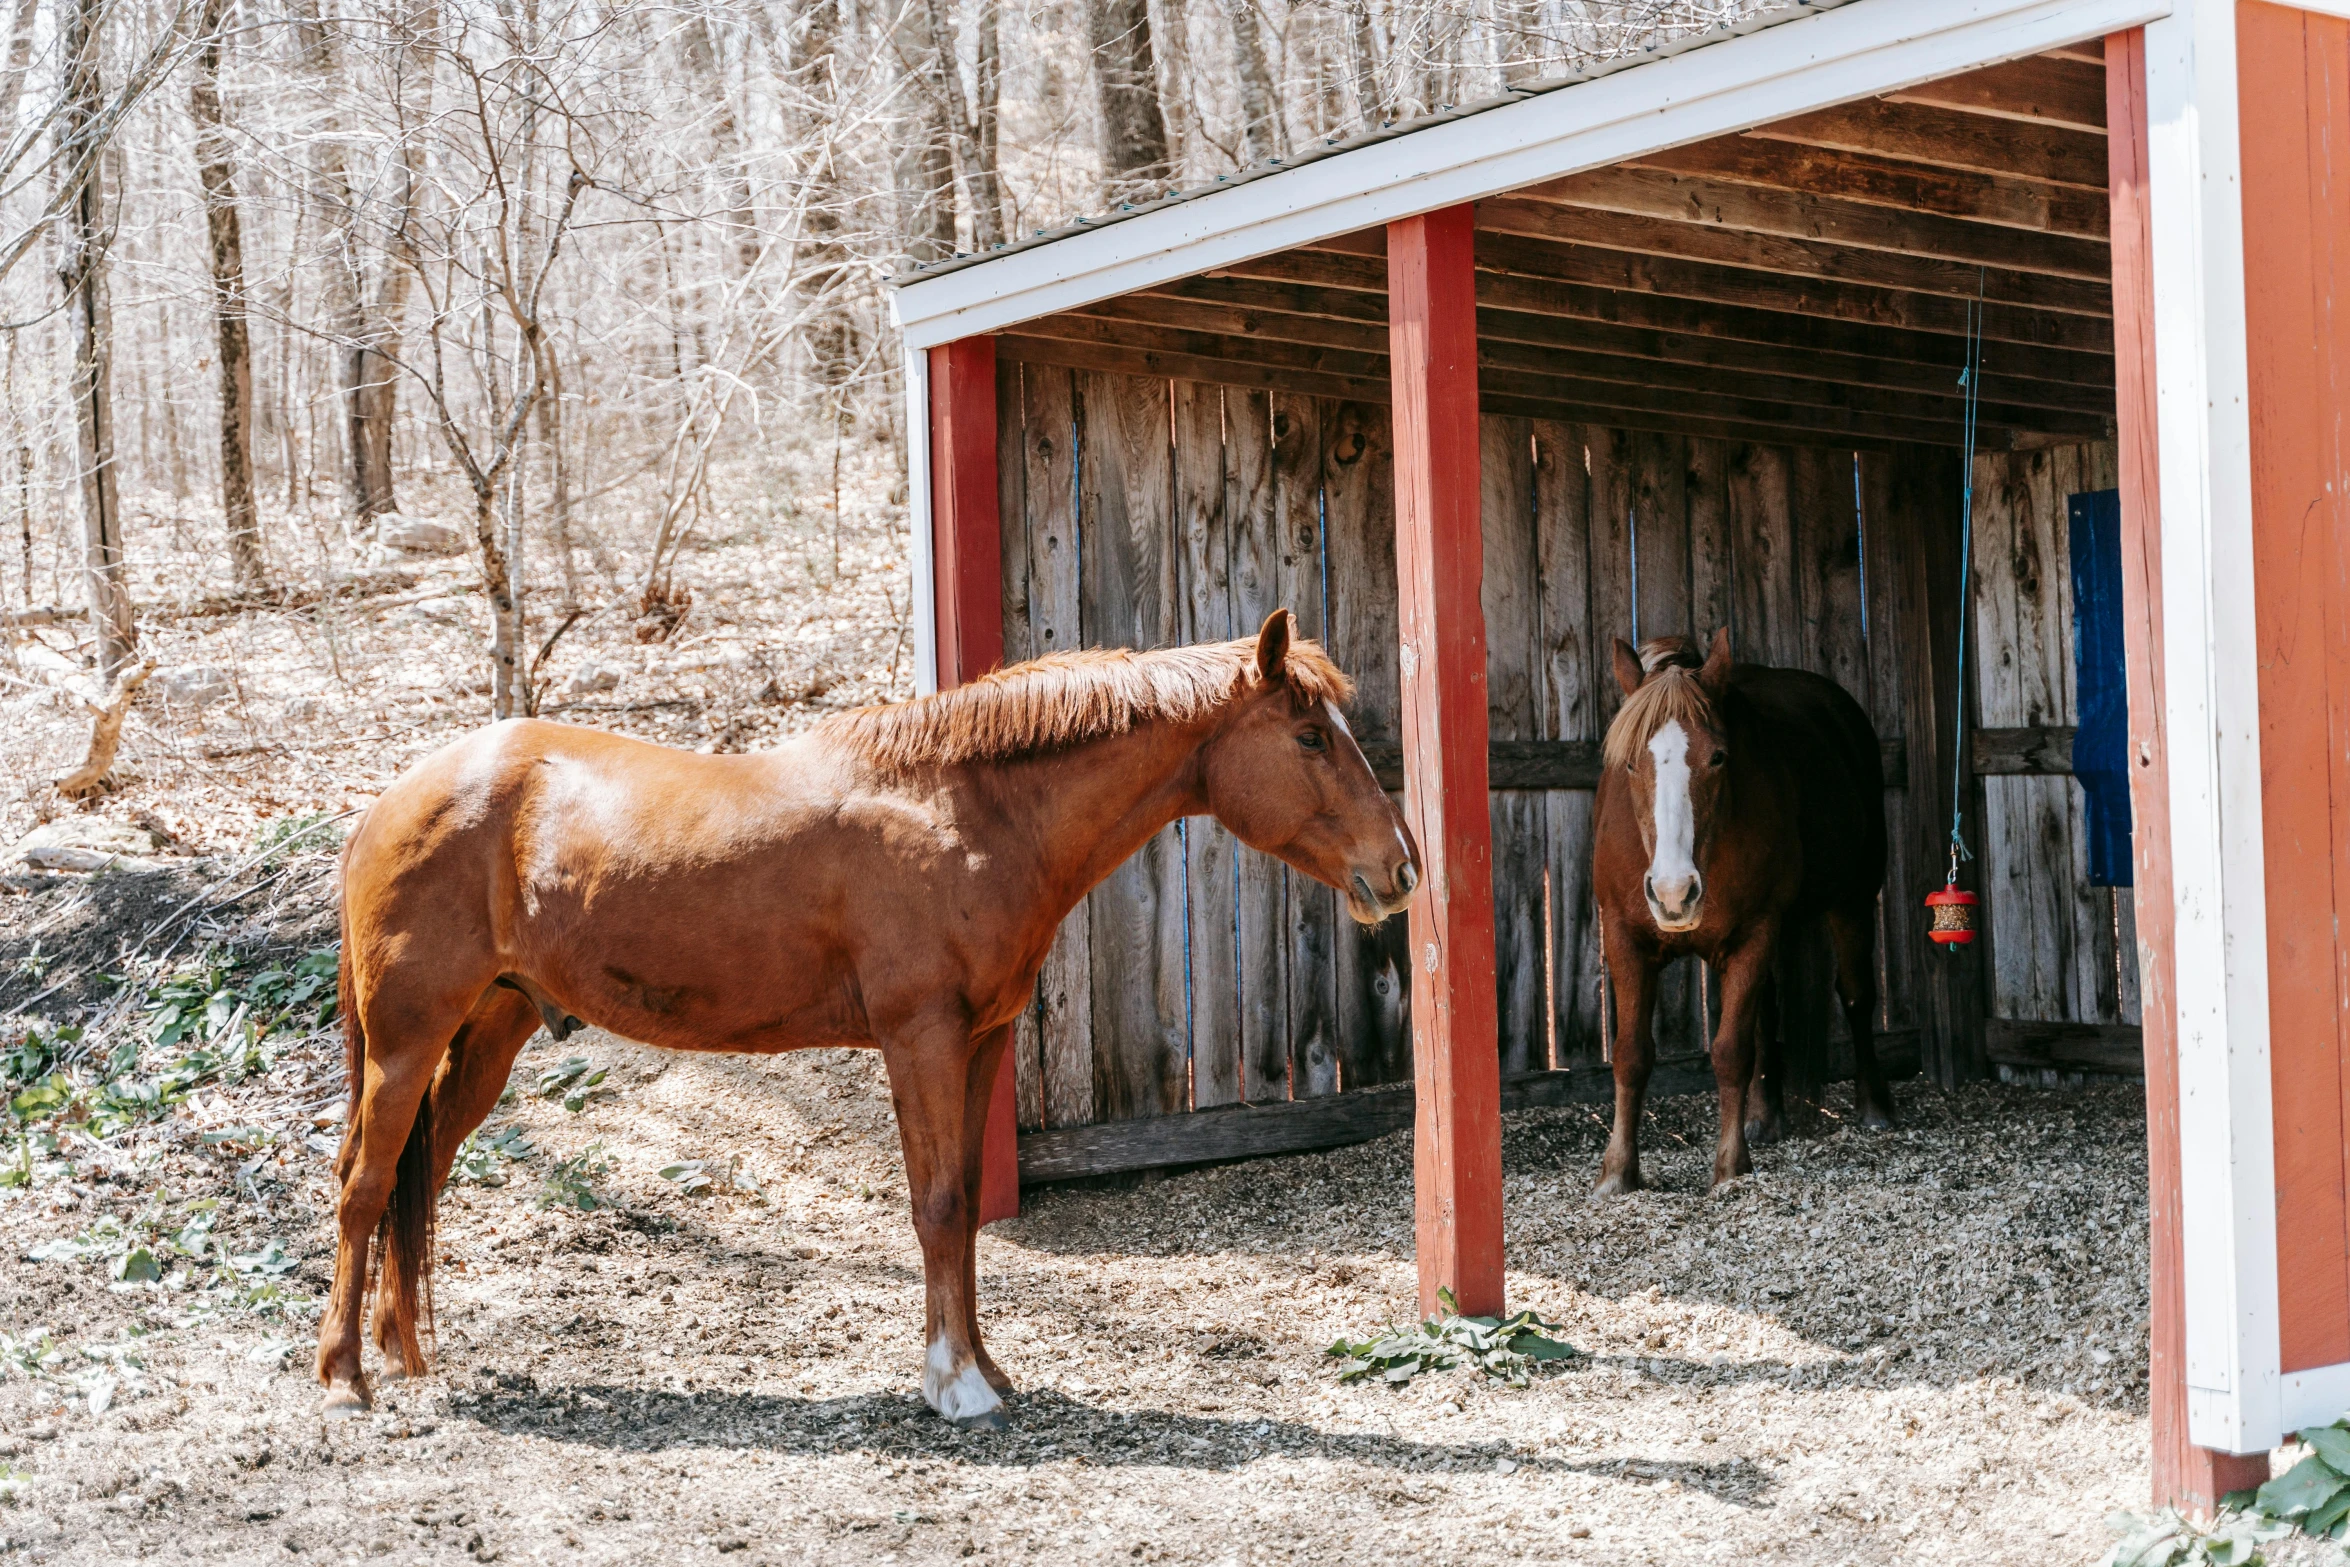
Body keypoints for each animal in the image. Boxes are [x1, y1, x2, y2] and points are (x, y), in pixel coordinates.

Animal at [312, 620, 1410, 1428]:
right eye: (1309, 737)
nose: (1398, 868)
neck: (963, 810)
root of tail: (388, 804)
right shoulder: (919, 1037)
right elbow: (936, 1205)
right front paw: (953, 1385)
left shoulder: (978, 1042)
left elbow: (963, 1204)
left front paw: (986, 1369)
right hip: (409, 1036)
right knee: (365, 1181)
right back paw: (343, 1375)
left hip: (487, 1034)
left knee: (421, 1172)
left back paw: (405, 1352)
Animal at [1579, 629, 1889, 1193]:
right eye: (1630, 762)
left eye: (1719, 757)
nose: (1673, 892)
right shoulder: (1623, 936)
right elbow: (1631, 1054)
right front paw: (1617, 1171)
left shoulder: (1755, 931)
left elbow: (1729, 1052)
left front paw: (1729, 1168)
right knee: (1767, 1015)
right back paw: (1764, 1119)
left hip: (1853, 899)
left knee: (1857, 996)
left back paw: (1875, 1107)